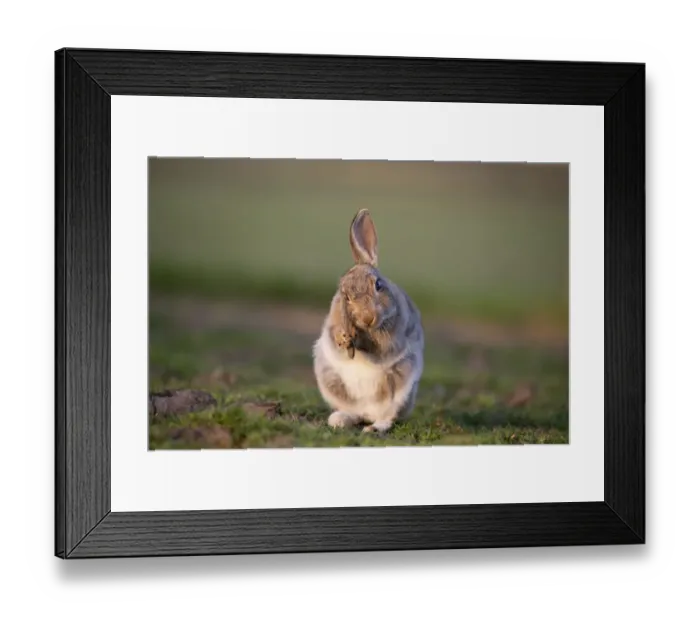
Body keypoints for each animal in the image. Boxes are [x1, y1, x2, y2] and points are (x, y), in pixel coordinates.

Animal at [312, 208, 425, 434]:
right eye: (345, 296)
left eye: (378, 285)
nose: (368, 318)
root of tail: (368, 413)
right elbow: (335, 338)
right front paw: (343, 337)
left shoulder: (393, 336)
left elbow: (379, 347)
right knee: (354, 414)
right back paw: (339, 420)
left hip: (400, 389)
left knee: (387, 417)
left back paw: (374, 428)